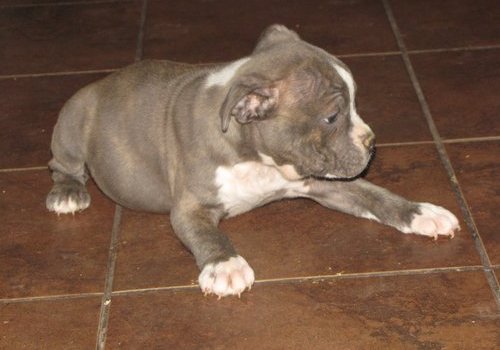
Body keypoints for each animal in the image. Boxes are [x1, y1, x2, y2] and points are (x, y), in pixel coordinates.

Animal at [45, 25, 458, 298]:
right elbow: (207, 233)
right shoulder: (190, 207)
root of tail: (101, 83)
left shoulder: (320, 182)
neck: (258, 159)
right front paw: (225, 265)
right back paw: (67, 193)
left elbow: (373, 194)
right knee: (61, 165)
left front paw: (421, 212)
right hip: (73, 119)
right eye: (331, 117)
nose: (371, 143)